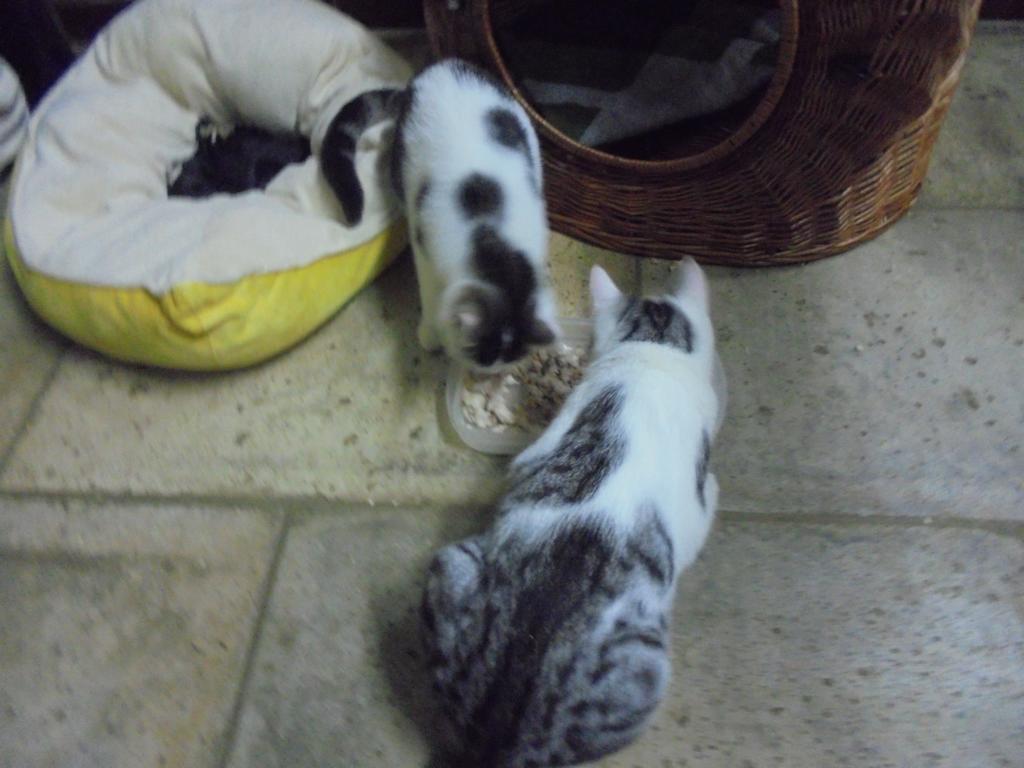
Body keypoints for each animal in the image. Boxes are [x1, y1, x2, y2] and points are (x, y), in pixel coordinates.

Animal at [320, 59, 559, 370]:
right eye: (481, 356)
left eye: (507, 361)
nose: (486, 376)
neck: (496, 243)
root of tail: (441, 65)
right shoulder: (425, 244)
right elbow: (431, 293)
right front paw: (430, 334)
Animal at [421, 258, 720, 767]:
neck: (649, 353)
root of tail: (495, 735)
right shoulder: (694, 509)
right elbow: (706, 504)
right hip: (647, 667)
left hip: (453, 561)